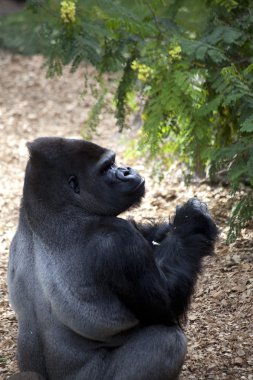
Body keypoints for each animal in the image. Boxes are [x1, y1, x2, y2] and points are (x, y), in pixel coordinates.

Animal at [7, 138, 217, 380]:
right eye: (106, 167)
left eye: (114, 163)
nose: (126, 171)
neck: (49, 211)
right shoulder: (119, 239)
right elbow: (168, 307)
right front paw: (190, 224)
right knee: (168, 341)